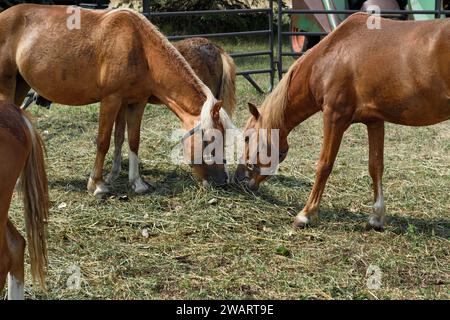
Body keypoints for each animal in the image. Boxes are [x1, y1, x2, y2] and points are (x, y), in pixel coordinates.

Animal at [0, 4, 232, 195]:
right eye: (209, 140)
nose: (222, 182)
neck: (139, 47)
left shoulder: (135, 102)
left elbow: (131, 140)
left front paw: (137, 183)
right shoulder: (111, 100)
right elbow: (103, 141)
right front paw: (97, 184)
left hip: (20, 85)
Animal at [237, 13, 448, 230]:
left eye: (246, 138)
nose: (241, 178)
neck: (330, 58)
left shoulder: (334, 117)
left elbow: (324, 165)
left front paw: (306, 214)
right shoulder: (374, 121)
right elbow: (375, 166)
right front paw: (377, 217)